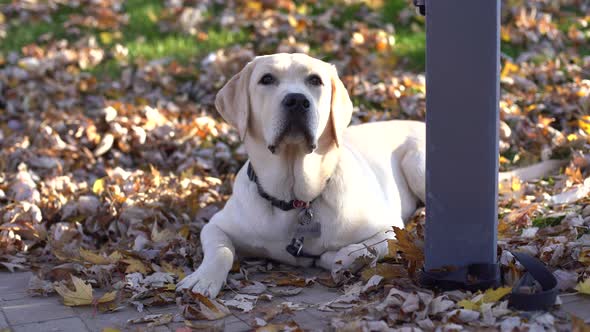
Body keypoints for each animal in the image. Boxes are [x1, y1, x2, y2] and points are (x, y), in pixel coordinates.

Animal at [178, 52, 568, 298]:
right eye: (266, 79)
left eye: (315, 81)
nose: (297, 100)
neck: (296, 196)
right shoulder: (216, 226)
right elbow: (221, 251)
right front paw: (202, 279)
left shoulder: (387, 230)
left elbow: (349, 251)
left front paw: (332, 258)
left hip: (419, 160)